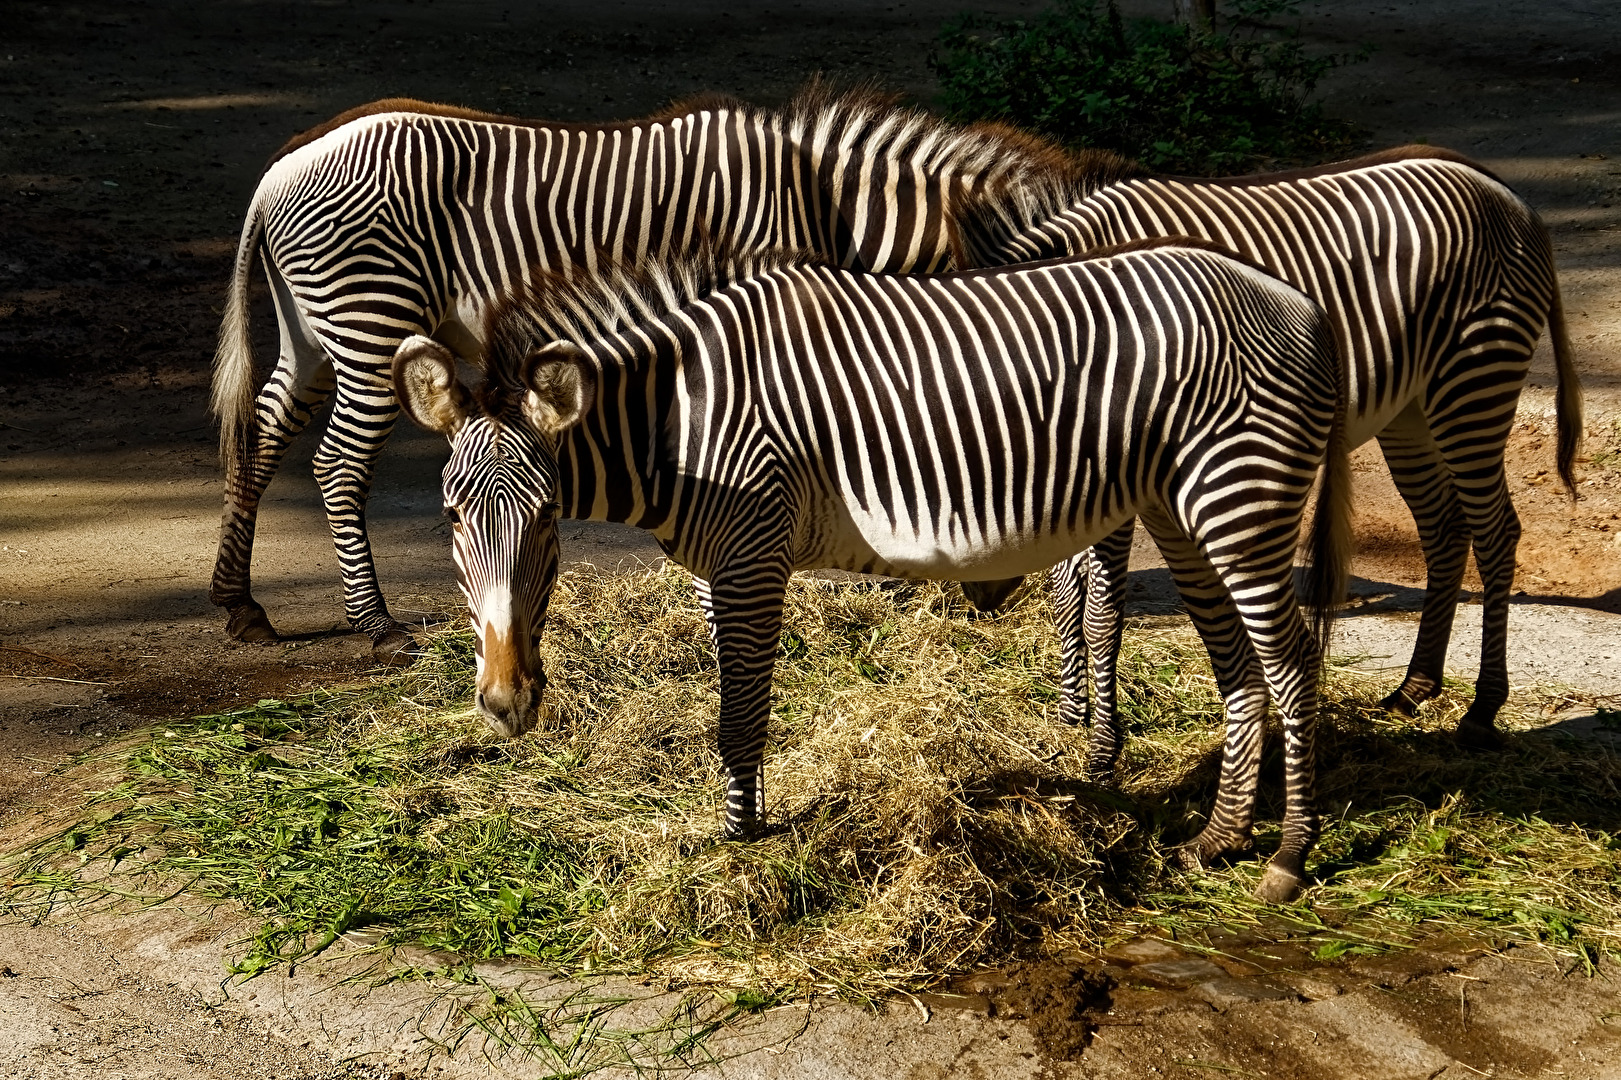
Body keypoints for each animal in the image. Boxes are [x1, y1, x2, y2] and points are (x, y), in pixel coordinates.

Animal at [208, 86, 1131, 661]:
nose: (993, 594)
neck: (822, 205)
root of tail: (277, 170)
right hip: (371, 319)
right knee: (335, 465)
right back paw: (376, 624)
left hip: (314, 328)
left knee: (262, 431)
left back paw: (240, 606)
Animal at [393, 240, 1353, 903]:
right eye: (451, 518)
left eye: (547, 516)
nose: (506, 702)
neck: (679, 420)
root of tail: (1301, 304)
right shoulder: (714, 568)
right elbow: (734, 711)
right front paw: (744, 823)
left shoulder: (752, 554)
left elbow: (739, 719)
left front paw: (741, 848)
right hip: (1181, 509)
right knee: (1238, 671)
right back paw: (1218, 839)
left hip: (1238, 498)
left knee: (1291, 665)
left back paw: (1286, 858)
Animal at [955, 146, 1584, 767]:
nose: (976, 598)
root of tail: (1510, 196)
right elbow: (1069, 588)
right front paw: (1072, 716)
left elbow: (1096, 600)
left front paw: (1099, 738)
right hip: (1411, 411)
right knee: (1445, 529)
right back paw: (1413, 689)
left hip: (1474, 381)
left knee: (1496, 531)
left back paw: (1482, 708)